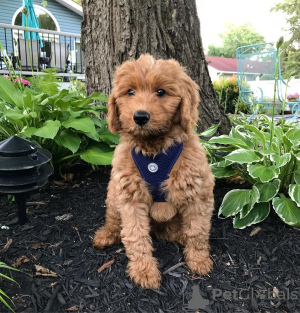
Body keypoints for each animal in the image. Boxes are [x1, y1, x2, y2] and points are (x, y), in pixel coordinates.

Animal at [92, 53, 214, 288]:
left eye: (161, 92)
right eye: (130, 92)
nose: (140, 116)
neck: (153, 151)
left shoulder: (196, 191)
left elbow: (197, 229)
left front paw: (199, 260)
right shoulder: (130, 196)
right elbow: (135, 234)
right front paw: (144, 271)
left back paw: (179, 234)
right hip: (113, 194)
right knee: (113, 219)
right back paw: (106, 234)